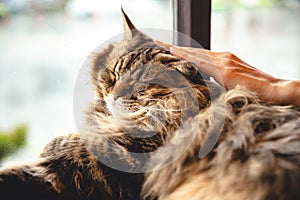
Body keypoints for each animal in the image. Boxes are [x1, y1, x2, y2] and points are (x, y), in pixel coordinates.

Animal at [0, 8, 300, 199]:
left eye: (140, 87)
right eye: (112, 76)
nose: (114, 96)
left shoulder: (135, 161)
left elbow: (80, 147)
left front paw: (54, 146)